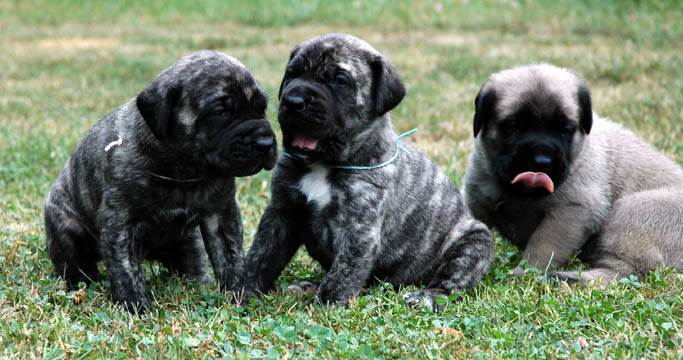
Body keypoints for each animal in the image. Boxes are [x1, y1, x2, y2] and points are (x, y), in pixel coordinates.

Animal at [44, 50, 278, 312]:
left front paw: (241, 296)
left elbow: (231, 257)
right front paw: (134, 306)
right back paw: (79, 282)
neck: (184, 169)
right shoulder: (119, 221)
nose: (265, 142)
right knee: (73, 261)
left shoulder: (221, 213)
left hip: (189, 240)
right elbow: (125, 268)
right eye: (221, 112)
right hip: (66, 228)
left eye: (262, 108)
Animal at [243, 32, 494, 310]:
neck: (325, 164)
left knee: (453, 277)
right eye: (292, 74)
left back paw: (427, 295)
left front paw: (326, 307)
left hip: (474, 240)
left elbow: (344, 271)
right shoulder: (281, 212)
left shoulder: (358, 228)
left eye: (340, 80)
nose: (293, 101)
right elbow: (262, 255)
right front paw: (241, 292)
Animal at [462, 64, 680, 284]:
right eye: (514, 127)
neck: (520, 194)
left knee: (626, 270)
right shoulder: (476, 200)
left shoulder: (571, 212)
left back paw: (568, 278)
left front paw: (525, 274)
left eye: (564, 129)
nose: (541, 161)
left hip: (632, 211)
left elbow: (543, 245)